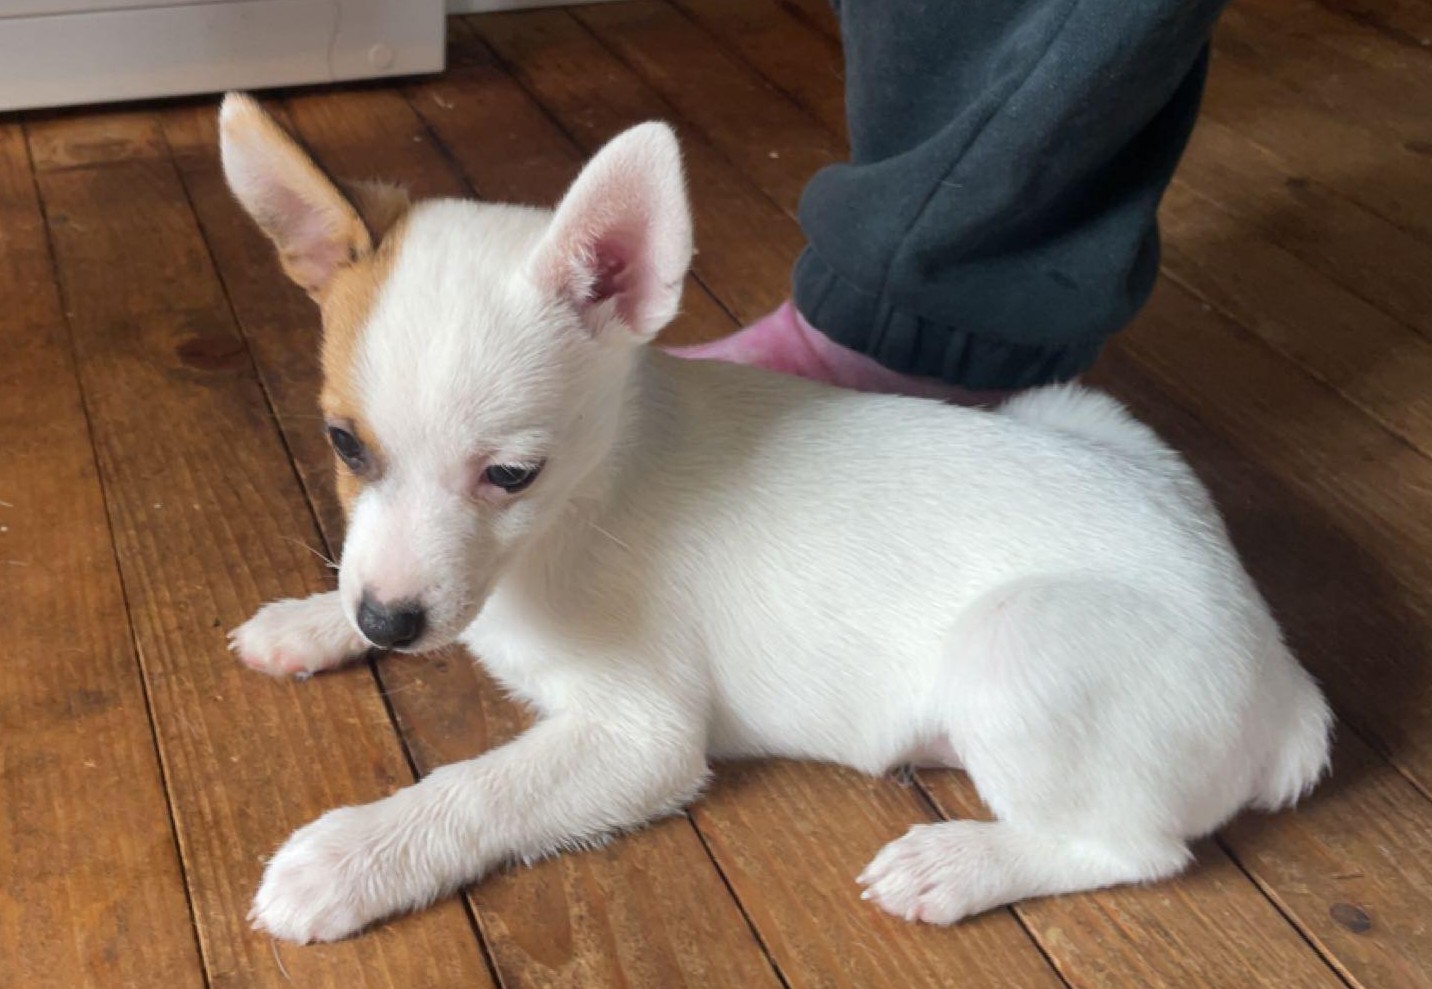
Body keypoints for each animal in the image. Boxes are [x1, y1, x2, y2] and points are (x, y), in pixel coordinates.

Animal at [220, 96, 1328, 950]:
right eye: (344, 444)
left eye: (510, 474)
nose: (388, 627)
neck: (585, 498)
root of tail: (1285, 679)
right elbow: (359, 579)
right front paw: (308, 620)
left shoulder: (644, 735)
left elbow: (478, 788)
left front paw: (350, 855)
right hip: (1074, 411)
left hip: (1013, 643)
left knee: (1135, 847)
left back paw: (958, 862)